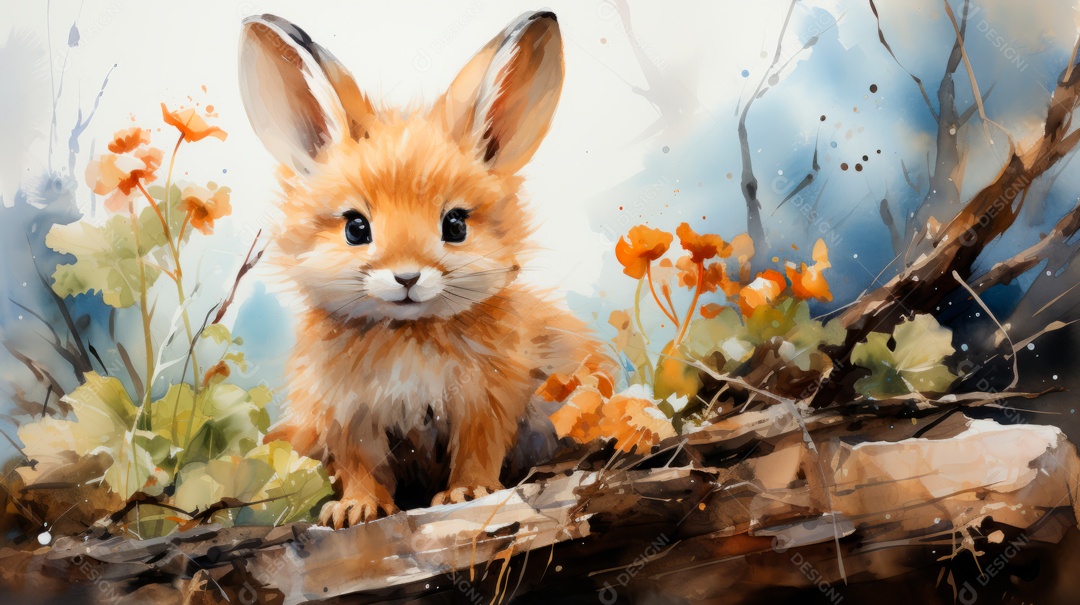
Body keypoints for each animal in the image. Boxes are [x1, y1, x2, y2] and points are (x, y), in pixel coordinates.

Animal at [238, 11, 612, 528]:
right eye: (355, 228)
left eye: (455, 224)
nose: (407, 277)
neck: (407, 331)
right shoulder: (346, 417)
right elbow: (358, 465)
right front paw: (354, 510)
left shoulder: (486, 403)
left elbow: (477, 451)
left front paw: (466, 493)